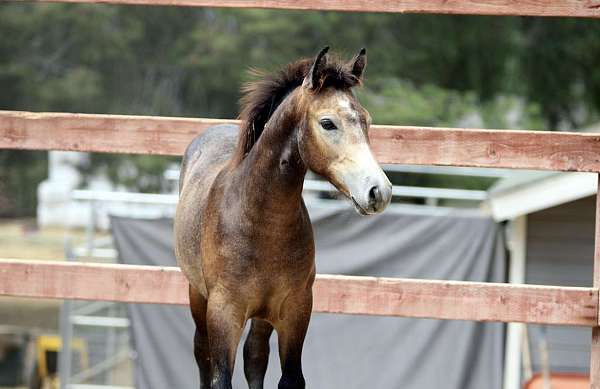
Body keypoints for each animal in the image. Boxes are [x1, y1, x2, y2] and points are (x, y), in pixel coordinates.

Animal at [173, 46, 394, 388]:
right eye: (328, 123)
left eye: (366, 121)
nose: (378, 191)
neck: (262, 223)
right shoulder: (224, 312)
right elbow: (220, 377)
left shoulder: (295, 310)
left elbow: (289, 378)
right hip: (197, 296)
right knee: (203, 356)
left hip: (263, 316)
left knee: (255, 358)